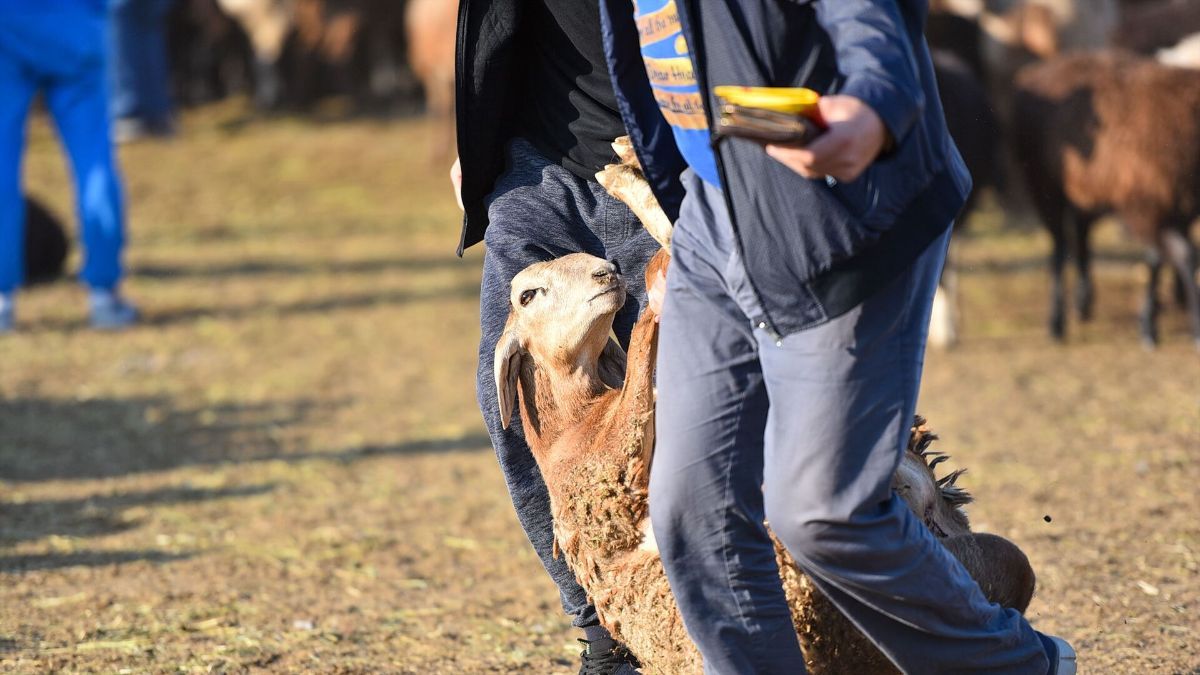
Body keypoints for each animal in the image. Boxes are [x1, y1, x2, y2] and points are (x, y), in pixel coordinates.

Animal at [1012, 51, 1200, 343]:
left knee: (1081, 232)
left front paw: (1148, 322)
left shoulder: (1173, 206)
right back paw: (1057, 321)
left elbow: (1157, 258)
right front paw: (1186, 328)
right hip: (1042, 183)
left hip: (1084, 186)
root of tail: (1034, 72)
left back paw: (1083, 302)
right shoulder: (1149, 203)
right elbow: (1185, 255)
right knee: (1059, 246)